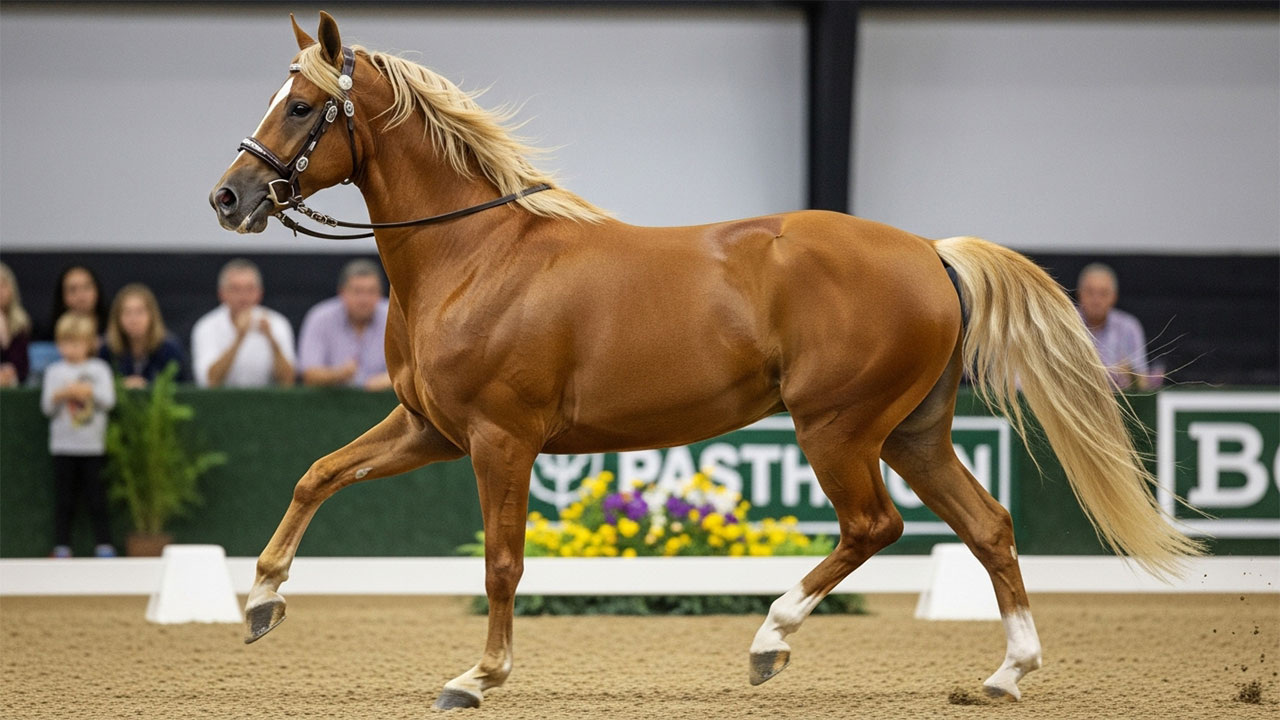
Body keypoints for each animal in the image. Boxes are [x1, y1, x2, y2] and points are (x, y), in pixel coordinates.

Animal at [210, 12, 1201, 711]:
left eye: (301, 107)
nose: (231, 195)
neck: (472, 255)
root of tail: (930, 251)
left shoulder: (499, 439)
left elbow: (501, 561)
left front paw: (478, 678)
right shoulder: (429, 428)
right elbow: (317, 473)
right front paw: (260, 599)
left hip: (838, 428)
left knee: (873, 527)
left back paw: (771, 638)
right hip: (913, 434)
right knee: (988, 525)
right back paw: (1004, 674)